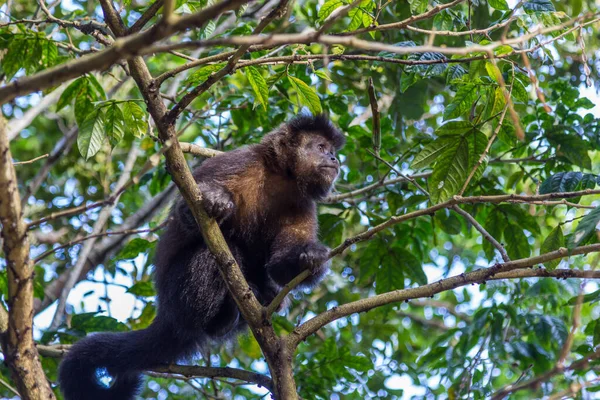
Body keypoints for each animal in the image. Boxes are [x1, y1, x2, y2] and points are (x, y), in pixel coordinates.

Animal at [58, 114, 346, 398]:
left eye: (332, 150)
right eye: (321, 147)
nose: (334, 159)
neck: (281, 176)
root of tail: (166, 313)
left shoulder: (303, 202)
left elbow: (279, 267)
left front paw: (309, 257)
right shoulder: (236, 163)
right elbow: (186, 214)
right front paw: (216, 199)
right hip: (176, 296)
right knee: (214, 254)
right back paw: (219, 316)